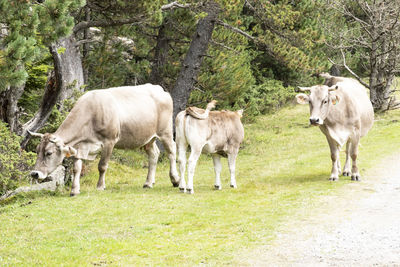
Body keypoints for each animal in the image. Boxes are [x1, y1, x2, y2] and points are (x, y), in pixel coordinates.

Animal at [30, 85, 181, 196]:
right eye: (37, 151)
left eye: (49, 153)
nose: (34, 173)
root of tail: (159, 89)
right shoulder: (80, 146)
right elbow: (76, 168)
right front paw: (74, 190)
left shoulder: (109, 141)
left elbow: (102, 166)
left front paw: (100, 186)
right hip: (148, 137)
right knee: (154, 154)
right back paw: (149, 182)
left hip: (165, 131)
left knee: (171, 151)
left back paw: (175, 179)